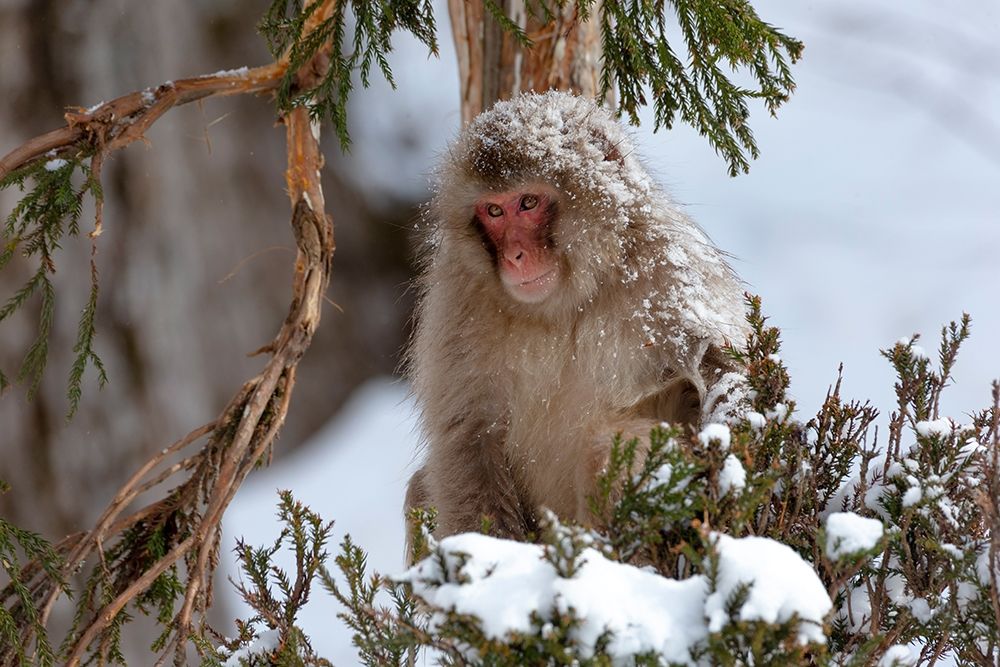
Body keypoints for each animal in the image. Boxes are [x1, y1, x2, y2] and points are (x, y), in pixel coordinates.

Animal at [405, 91, 749, 541]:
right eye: (494, 212)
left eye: (528, 203)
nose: (515, 256)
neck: (566, 300)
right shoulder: (457, 299)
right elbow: (467, 436)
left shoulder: (669, 269)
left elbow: (717, 370)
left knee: (612, 445)